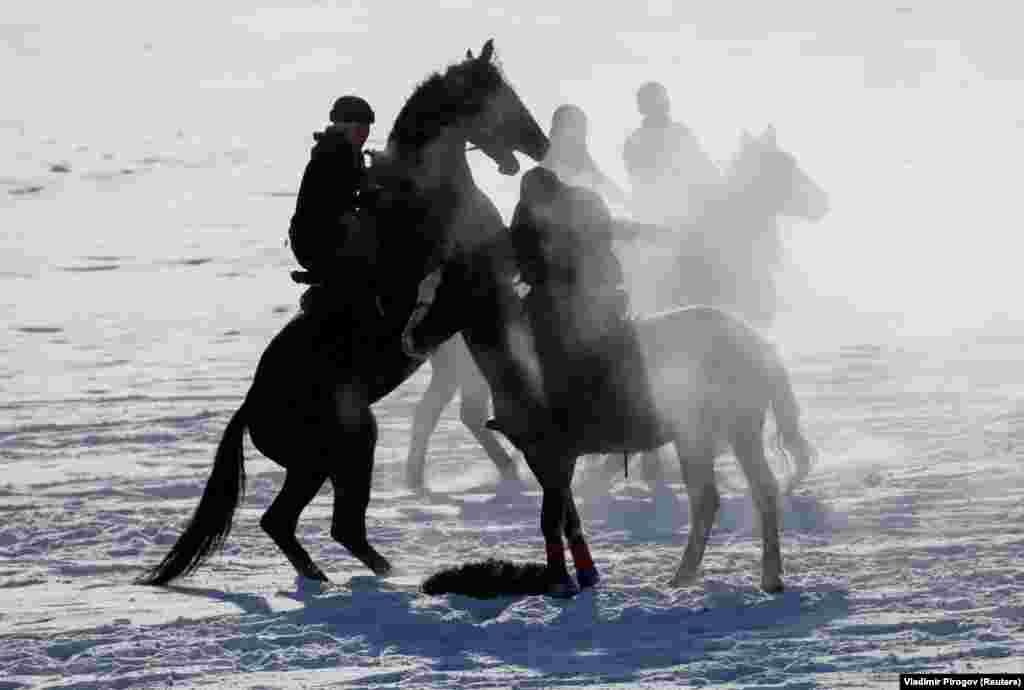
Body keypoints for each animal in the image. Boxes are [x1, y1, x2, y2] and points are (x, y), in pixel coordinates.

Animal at [139, 38, 552, 585]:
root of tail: (249, 409)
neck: (431, 195)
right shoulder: (476, 291)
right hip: (347, 447)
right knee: (332, 525)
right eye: (498, 96)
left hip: (318, 463)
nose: (541, 145)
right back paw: (378, 573)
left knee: (288, 522)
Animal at [405, 181, 815, 589]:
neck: (521, 357)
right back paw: (687, 575)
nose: (410, 339)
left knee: (755, 491)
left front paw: (561, 582)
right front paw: (586, 574)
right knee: (714, 498)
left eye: (448, 292)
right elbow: (567, 517)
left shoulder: (552, 453)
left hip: (736, 427)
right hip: (699, 434)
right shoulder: (548, 457)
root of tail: (754, 341)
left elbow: (551, 518)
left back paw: (766, 576)